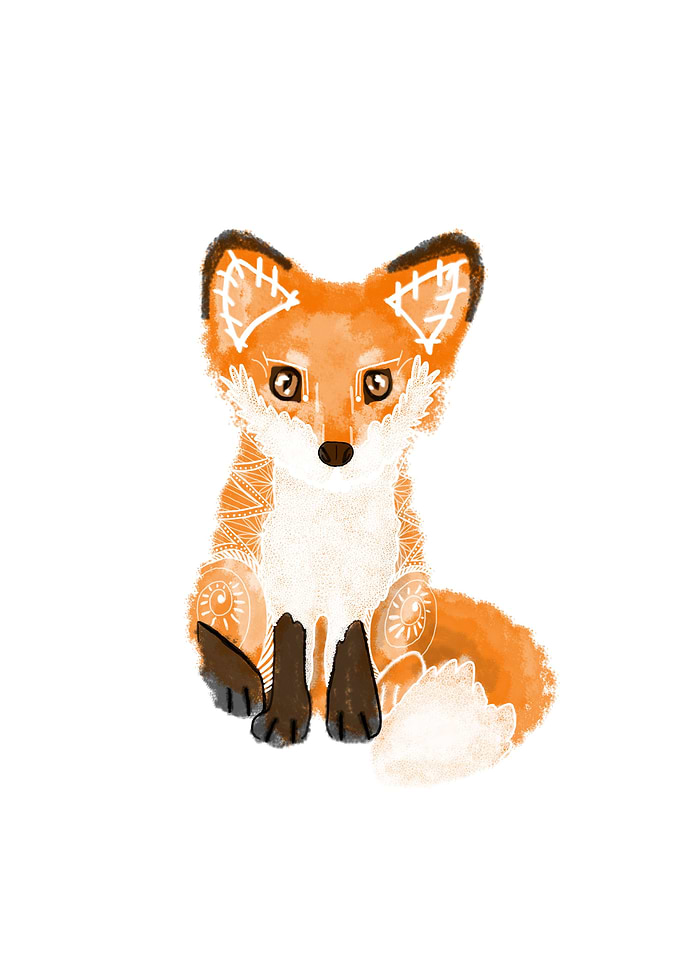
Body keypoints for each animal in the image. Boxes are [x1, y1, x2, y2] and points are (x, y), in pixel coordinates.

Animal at [190, 229, 555, 781]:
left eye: (377, 384)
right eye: (285, 383)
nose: (336, 452)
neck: (328, 536)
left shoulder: (366, 585)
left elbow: (352, 647)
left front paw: (356, 715)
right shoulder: (285, 584)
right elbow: (289, 646)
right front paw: (283, 719)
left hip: (410, 597)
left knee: (401, 661)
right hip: (230, 582)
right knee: (207, 629)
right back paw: (239, 685)